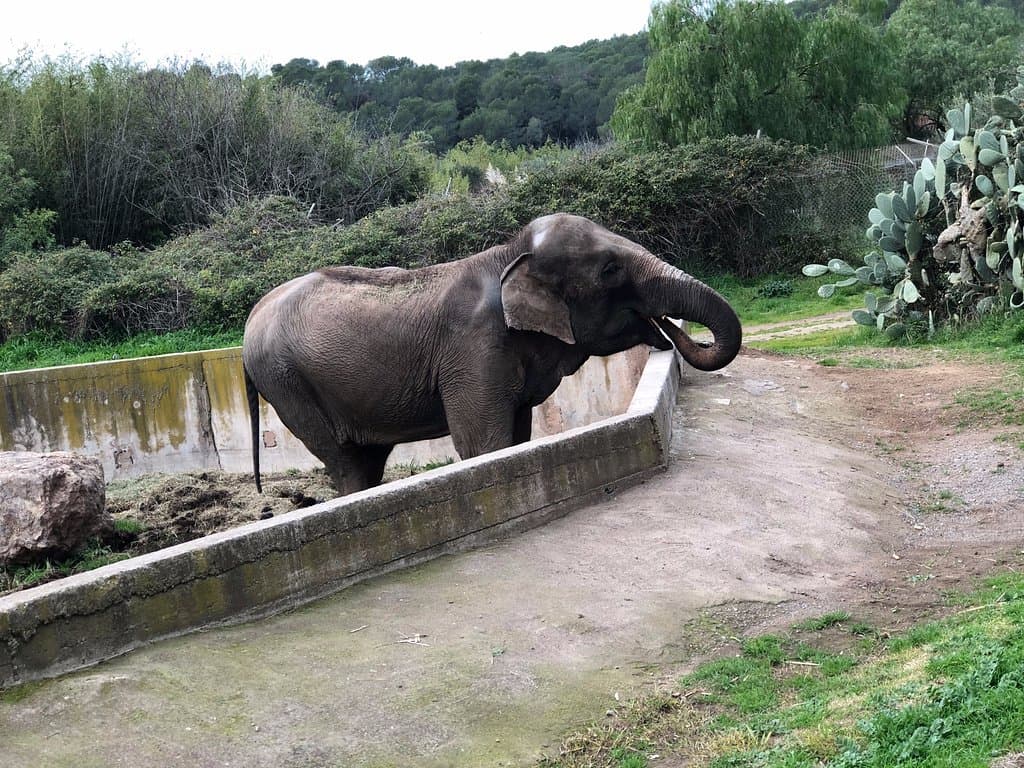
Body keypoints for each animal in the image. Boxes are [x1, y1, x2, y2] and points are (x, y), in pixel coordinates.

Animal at [242, 213, 742, 495]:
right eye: (610, 270)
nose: (668, 335)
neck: (508, 254)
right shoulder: (473, 349)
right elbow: (485, 444)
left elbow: (517, 434)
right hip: (287, 384)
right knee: (345, 461)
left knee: (367, 458)